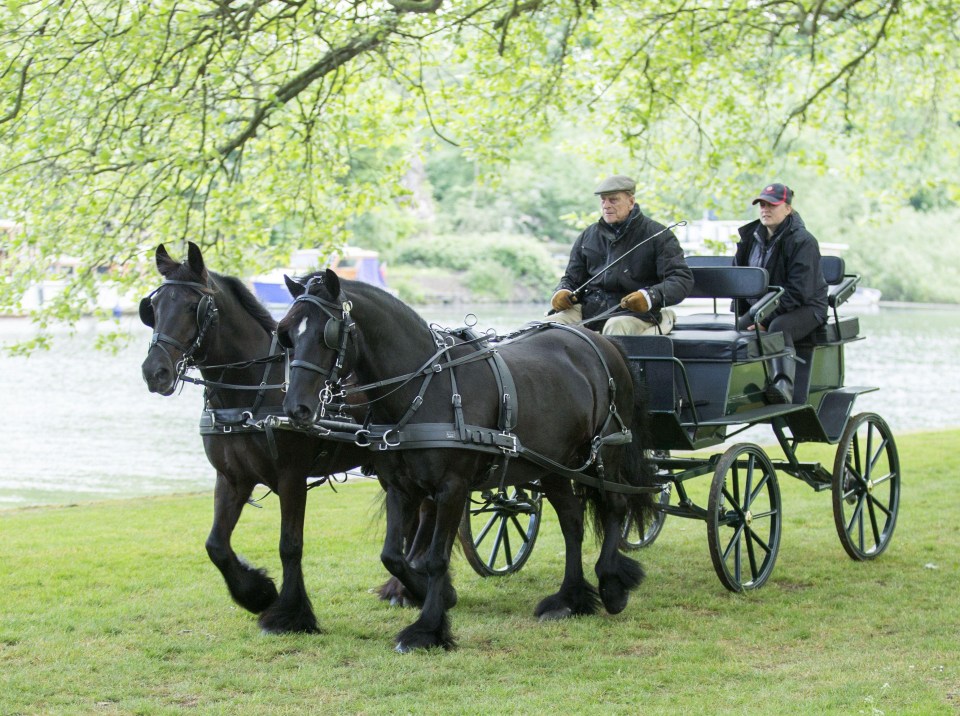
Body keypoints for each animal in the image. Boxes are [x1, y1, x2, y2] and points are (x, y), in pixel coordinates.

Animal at [140, 245, 386, 632]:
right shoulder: (233, 478)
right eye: (153, 307)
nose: (155, 372)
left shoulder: (291, 478)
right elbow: (216, 545)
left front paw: (292, 614)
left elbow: (290, 545)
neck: (254, 388)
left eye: (192, 307)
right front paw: (258, 594)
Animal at [278, 272, 652, 652]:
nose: (297, 408)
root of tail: (602, 342)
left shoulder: (452, 488)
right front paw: (436, 596)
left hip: (604, 453)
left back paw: (611, 584)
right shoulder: (400, 488)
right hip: (554, 466)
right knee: (572, 522)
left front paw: (427, 628)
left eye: (328, 333)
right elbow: (393, 556)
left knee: (615, 507)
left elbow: (435, 559)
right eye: (286, 334)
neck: (426, 389)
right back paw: (570, 598)